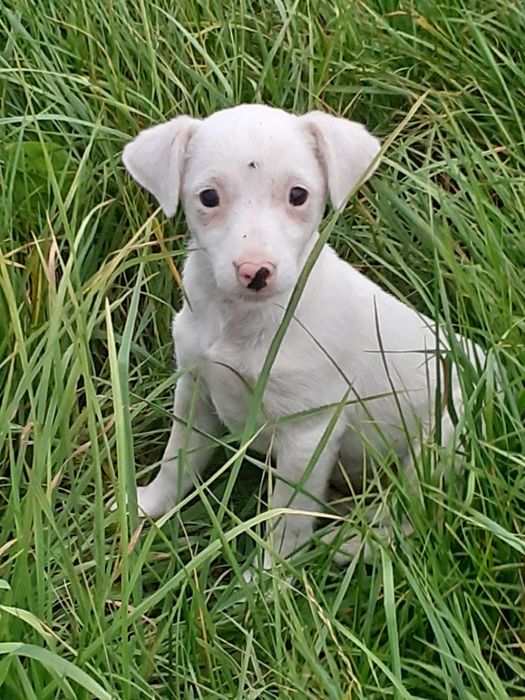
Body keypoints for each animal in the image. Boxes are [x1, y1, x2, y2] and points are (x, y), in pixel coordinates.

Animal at [122, 102, 470, 564]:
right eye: (209, 197)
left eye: (298, 195)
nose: (255, 271)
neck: (247, 320)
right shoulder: (194, 388)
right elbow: (177, 457)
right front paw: (147, 506)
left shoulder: (308, 432)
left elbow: (286, 516)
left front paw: (267, 574)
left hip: (441, 440)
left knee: (408, 520)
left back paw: (347, 545)